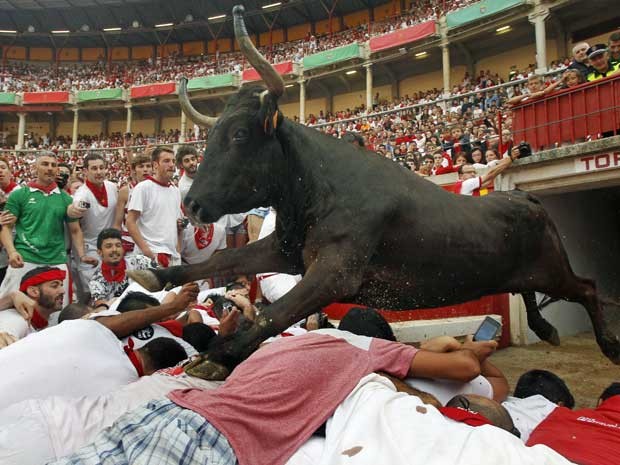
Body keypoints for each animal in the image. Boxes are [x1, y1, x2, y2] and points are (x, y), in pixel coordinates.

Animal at [128, 6, 616, 380]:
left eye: (241, 134)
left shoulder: (336, 271)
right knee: (531, 293)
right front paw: (160, 276)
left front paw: (217, 357)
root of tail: (523, 198)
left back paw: (608, 345)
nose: (191, 204)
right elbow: (226, 259)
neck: (314, 189)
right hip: (521, 273)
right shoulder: (286, 250)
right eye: (212, 137)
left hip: (552, 269)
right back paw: (547, 328)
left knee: (589, 287)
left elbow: (274, 311)